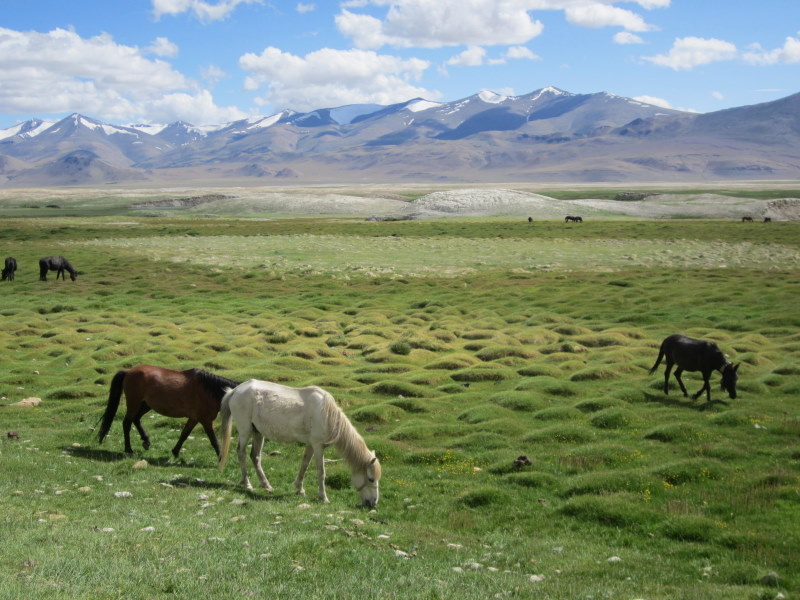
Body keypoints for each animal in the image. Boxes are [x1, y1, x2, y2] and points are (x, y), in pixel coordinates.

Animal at [97, 365, 239, 458]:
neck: (209, 391)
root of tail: (128, 371)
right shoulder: (205, 420)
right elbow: (214, 440)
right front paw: (221, 457)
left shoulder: (194, 418)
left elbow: (184, 434)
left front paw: (175, 452)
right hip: (134, 403)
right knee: (127, 423)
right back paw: (129, 449)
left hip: (145, 404)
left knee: (136, 419)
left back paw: (146, 441)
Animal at [218, 379, 381, 507]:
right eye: (371, 479)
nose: (373, 503)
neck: (327, 414)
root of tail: (235, 390)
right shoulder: (318, 446)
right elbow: (321, 472)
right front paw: (323, 497)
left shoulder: (311, 445)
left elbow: (304, 465)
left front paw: (299, 488)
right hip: (245, 430)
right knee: (241, 453)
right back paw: (247, 484)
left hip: (258, 433)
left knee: (255, 457)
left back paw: (267, 486)